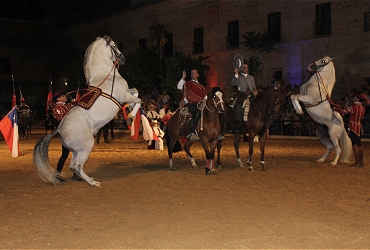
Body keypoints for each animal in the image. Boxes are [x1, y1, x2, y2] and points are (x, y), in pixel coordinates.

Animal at [33, 36, 142, 187]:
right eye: (114, 45)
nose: (123, 58)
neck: (105, 75)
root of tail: (58, 130)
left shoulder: (126, 93)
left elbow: (136, 92)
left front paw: (129, 109)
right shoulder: (123, 96)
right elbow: (139, 99)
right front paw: (130, 117)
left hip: (76, 150)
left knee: (73, 165)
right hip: (86, 146)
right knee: (76, 166)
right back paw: (93, 182)